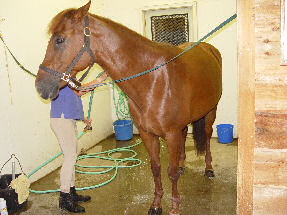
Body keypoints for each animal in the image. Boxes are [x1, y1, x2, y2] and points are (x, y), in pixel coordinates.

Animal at [34, 2, 223, 215]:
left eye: (59, 39)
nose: (40, 86)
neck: (154, 80)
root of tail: (208, 48)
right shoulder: (148, 133)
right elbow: (156, 168)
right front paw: (156, 204)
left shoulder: (171, 134)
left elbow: (171, 173)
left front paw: (174, 207)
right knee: (184, 138)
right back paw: (183, 164)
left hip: (211, 112)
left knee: (207, 136)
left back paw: (208, 168)